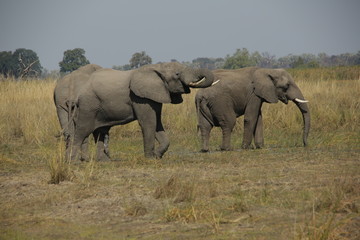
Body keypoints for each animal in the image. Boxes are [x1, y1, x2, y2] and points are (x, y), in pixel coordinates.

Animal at [68, 62, 215, 160]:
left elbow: (157, 123)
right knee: (82, 132)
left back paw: (104, 162)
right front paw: (150, 158)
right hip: (88, 106)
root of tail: (78, 95)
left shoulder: (155, 95)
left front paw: (157, 156)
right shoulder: (140, 97)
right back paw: (73, 162)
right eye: (177, 74)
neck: (157, 68)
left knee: (100, 131)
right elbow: (149, 123)